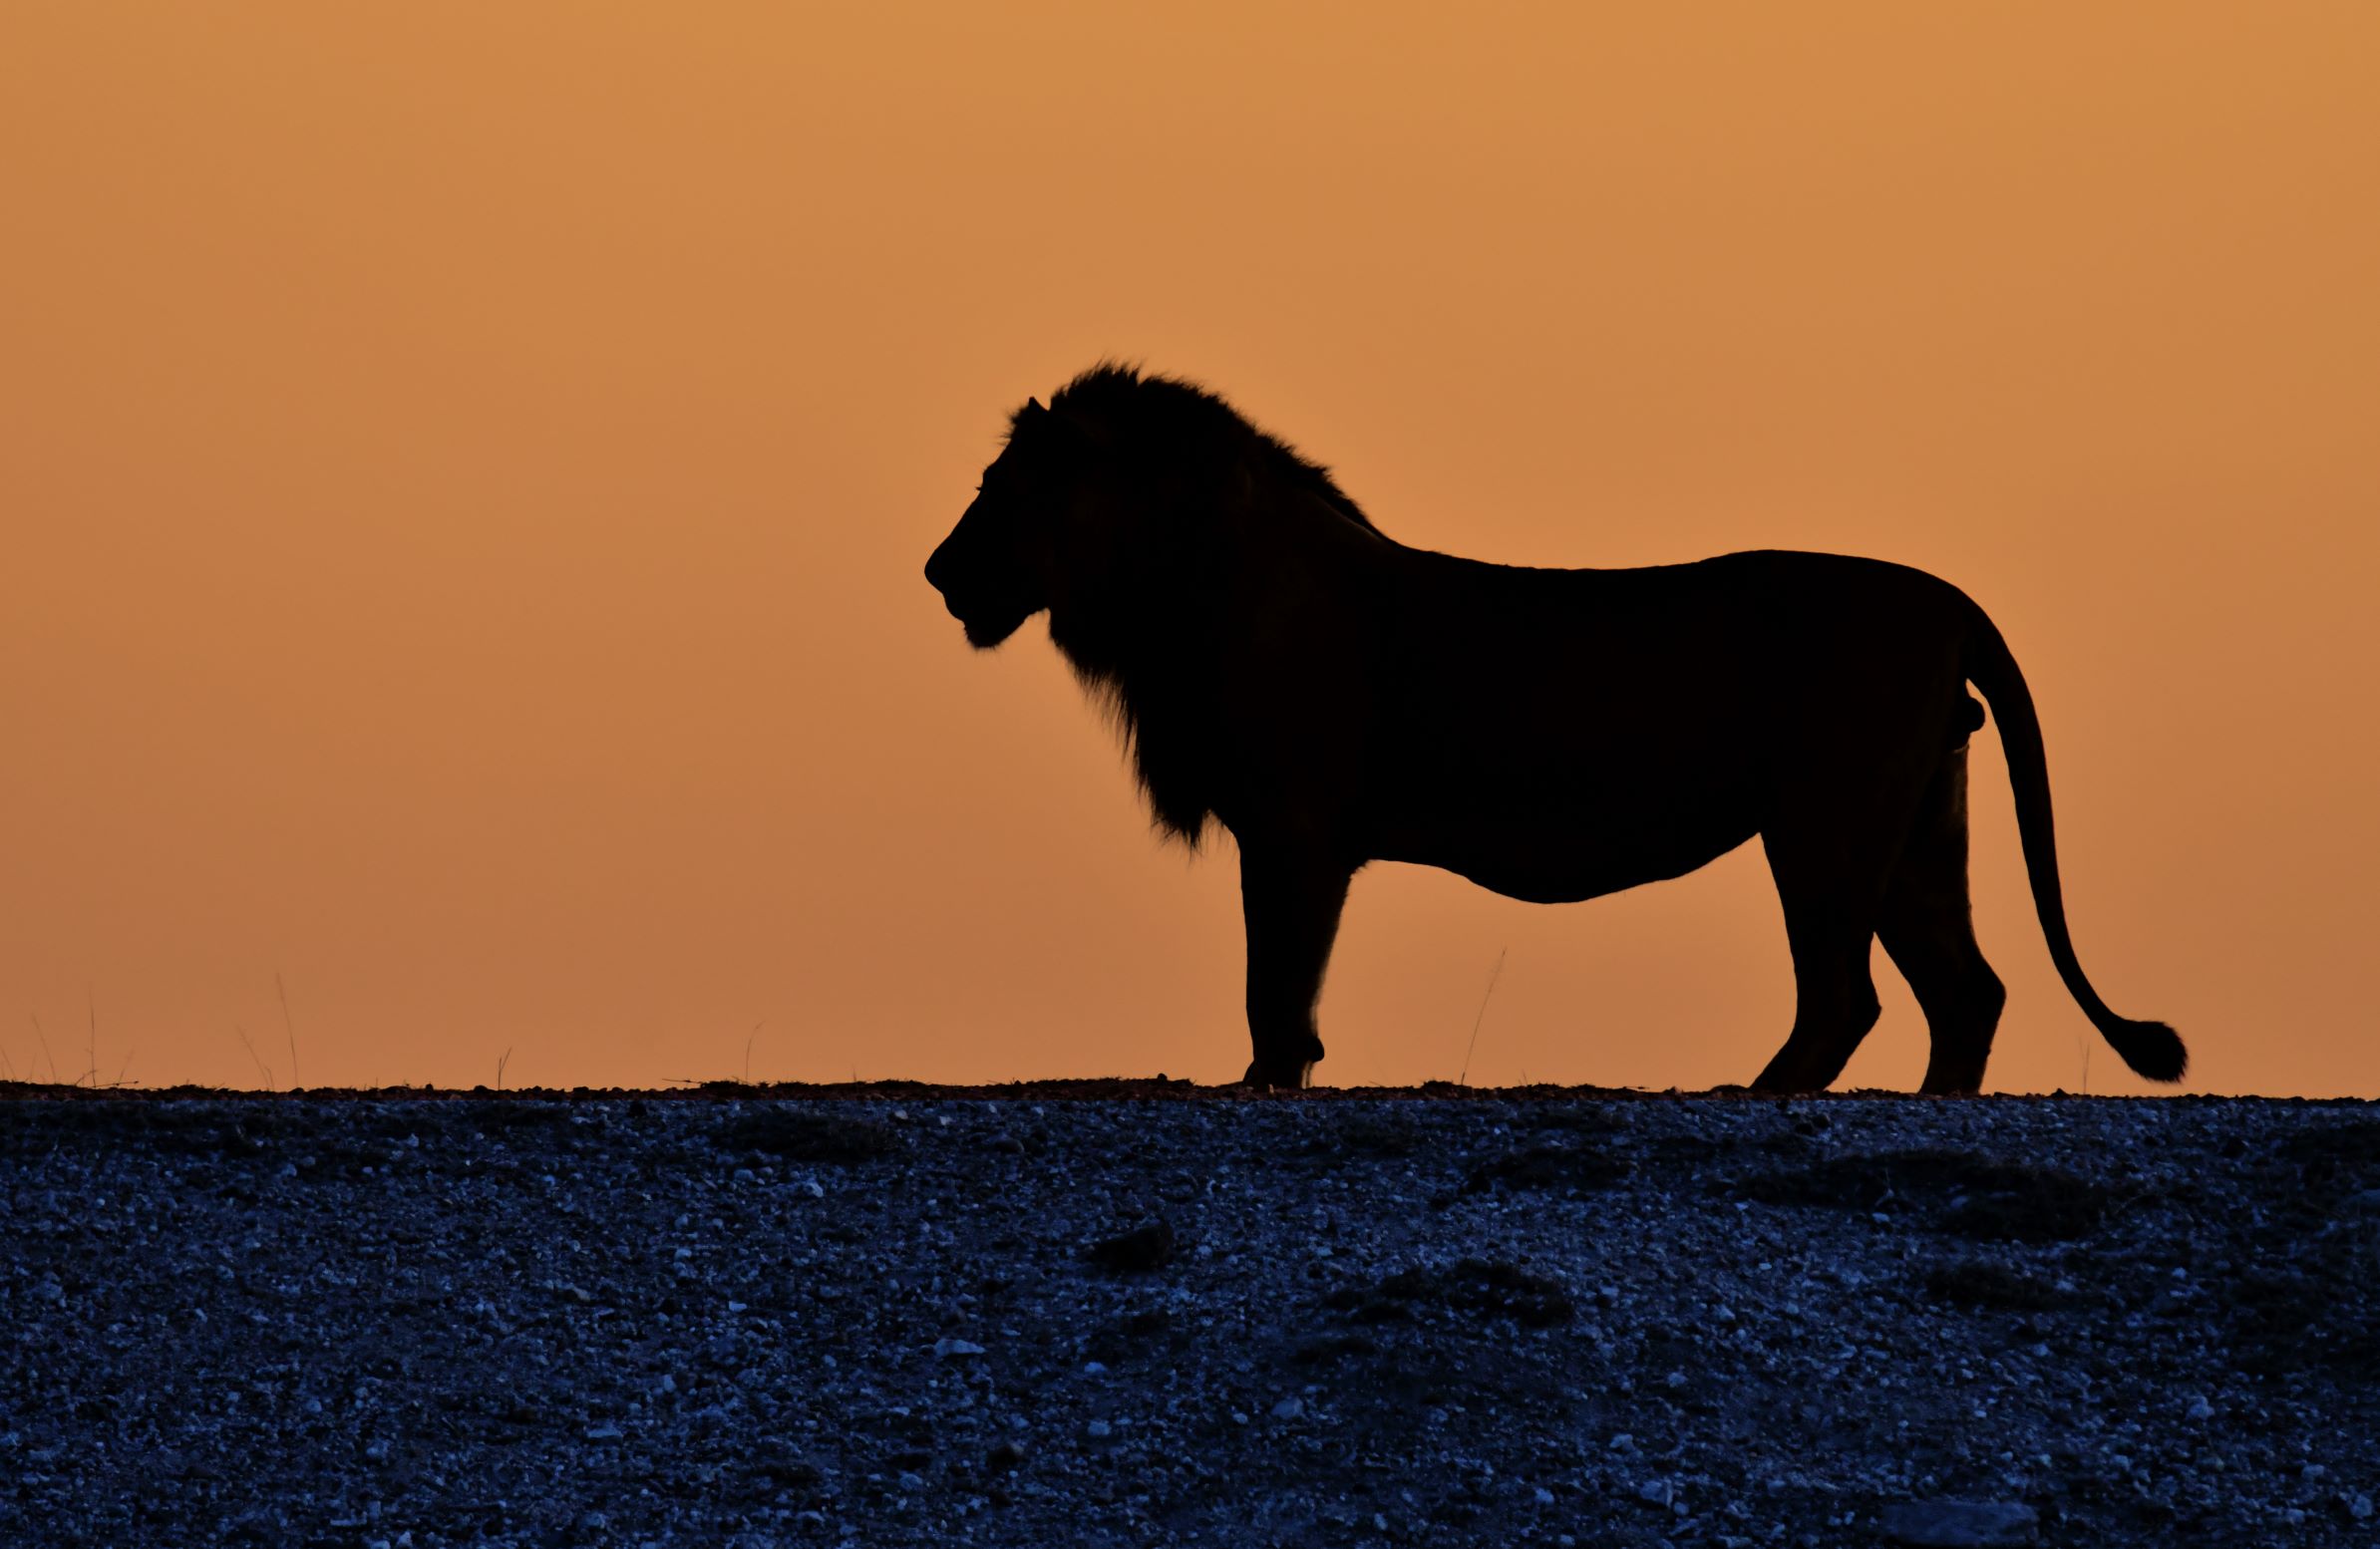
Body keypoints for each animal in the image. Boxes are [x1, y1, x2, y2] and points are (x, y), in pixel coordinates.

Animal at [924, 365, 2182, 1094]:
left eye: (1006, 488)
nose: (938, 572)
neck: (1178, 589)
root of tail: (1950, 600)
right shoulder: (1295, 836)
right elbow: (1279, 984)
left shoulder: (1294, 832)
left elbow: (1273, 981)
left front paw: (1266, 1082)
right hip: (1914, 830)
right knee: (1964, 992)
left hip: (1824, 825)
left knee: (1844, 997)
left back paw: (1751, 1094)